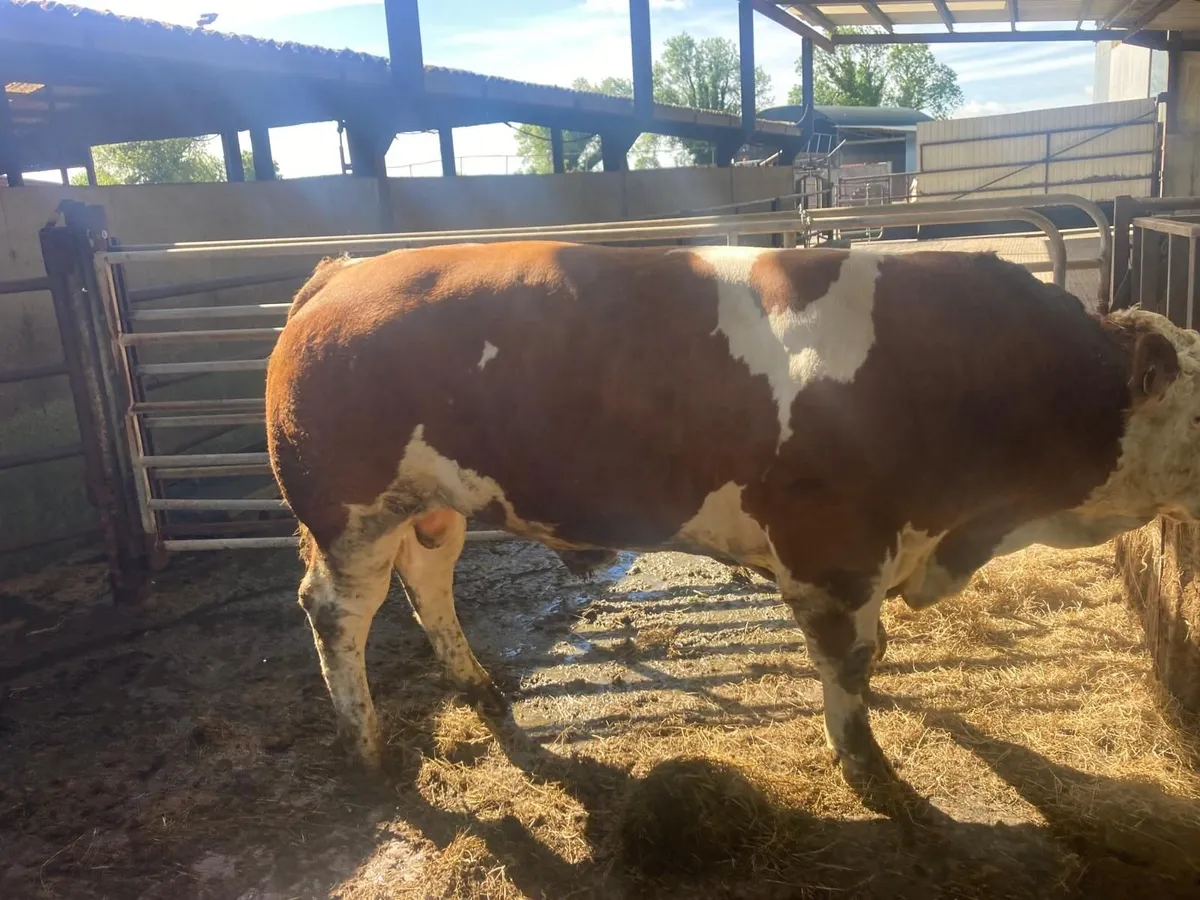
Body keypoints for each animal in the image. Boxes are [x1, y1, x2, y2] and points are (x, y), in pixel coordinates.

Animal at [265, 241, 1200, 791]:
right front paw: (865, 763)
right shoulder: (833, 554)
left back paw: (481, 688)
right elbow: (850, 661)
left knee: (429, 582)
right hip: (350, 515)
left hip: (431, 505)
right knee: (338, 615)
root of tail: (344, 270)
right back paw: (367, 745)